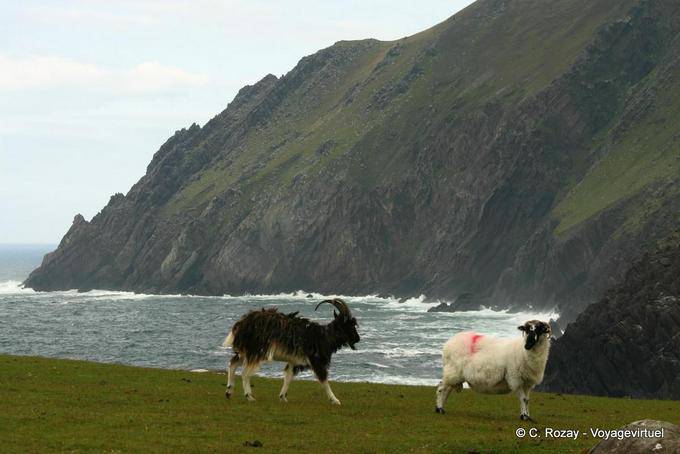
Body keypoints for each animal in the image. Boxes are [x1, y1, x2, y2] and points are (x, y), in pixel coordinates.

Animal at [223, 298, 360, 405]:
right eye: (350, 325)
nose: (357, 339)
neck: (323, 336)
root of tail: (241, 324)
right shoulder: (316, 361)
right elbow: (324, 381)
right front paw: (335, 400)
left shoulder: (294, 362)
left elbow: (288, 378)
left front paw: (282, 397)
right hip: (256, 351)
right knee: (245, 373)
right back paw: (249, 397)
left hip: (246, 350)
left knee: (233, 363)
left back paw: (229, 391)